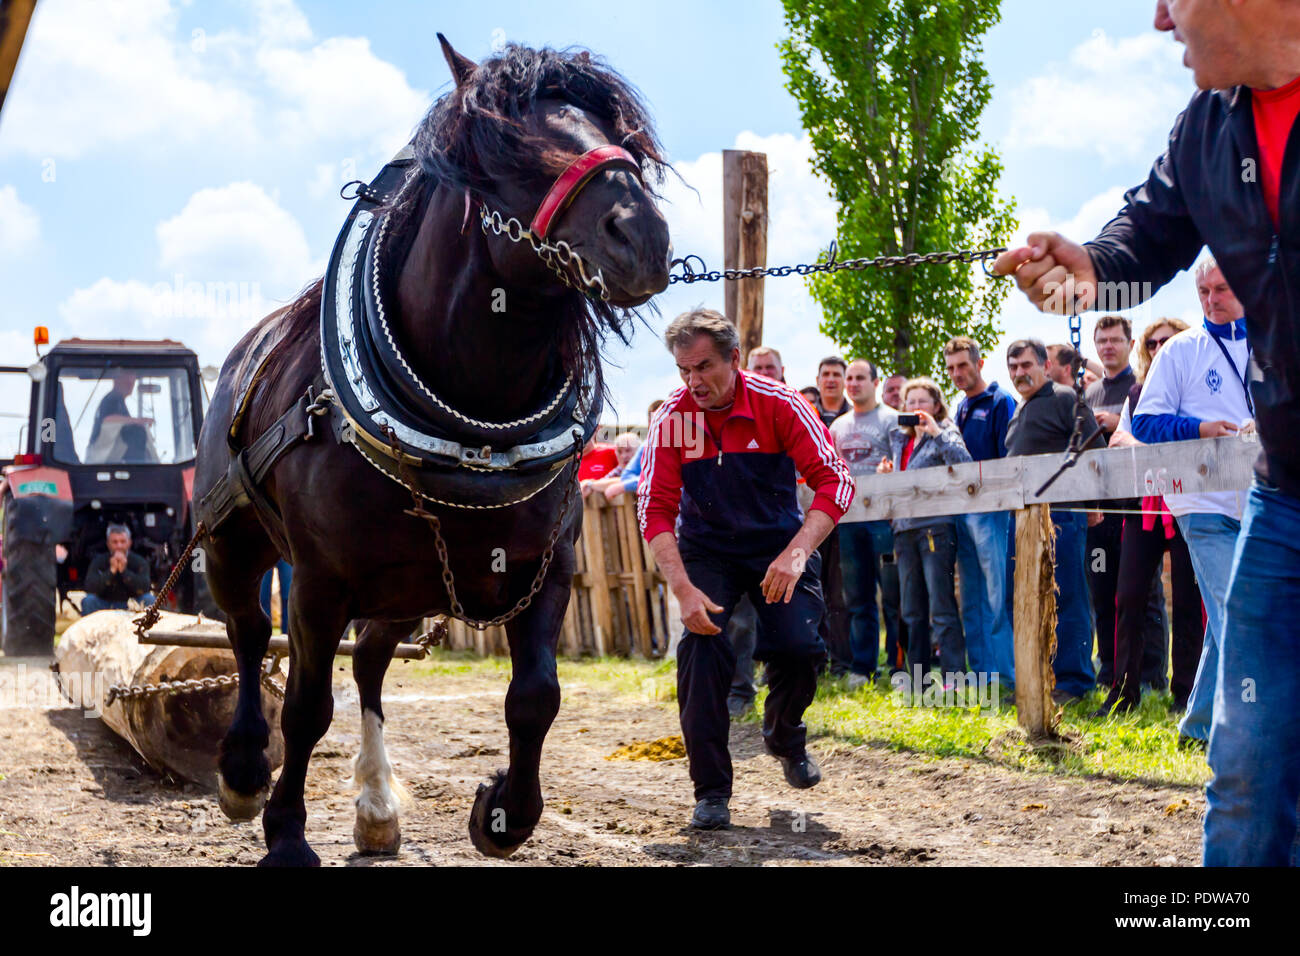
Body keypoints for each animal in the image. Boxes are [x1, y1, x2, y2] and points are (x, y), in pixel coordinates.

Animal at [197, 37, 676, 868]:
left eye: (619, 133)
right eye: (510, 148)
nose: (642, 236)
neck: (475, 426)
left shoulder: (549, 568)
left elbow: (536, 696)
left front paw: (503, 814)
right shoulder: (318, 583)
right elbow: (306, 708)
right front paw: (285, 832)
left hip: (404, 588)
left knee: (368, 662)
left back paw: (377, 807)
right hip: (233, 543)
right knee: (251, 636)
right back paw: (244, 771)